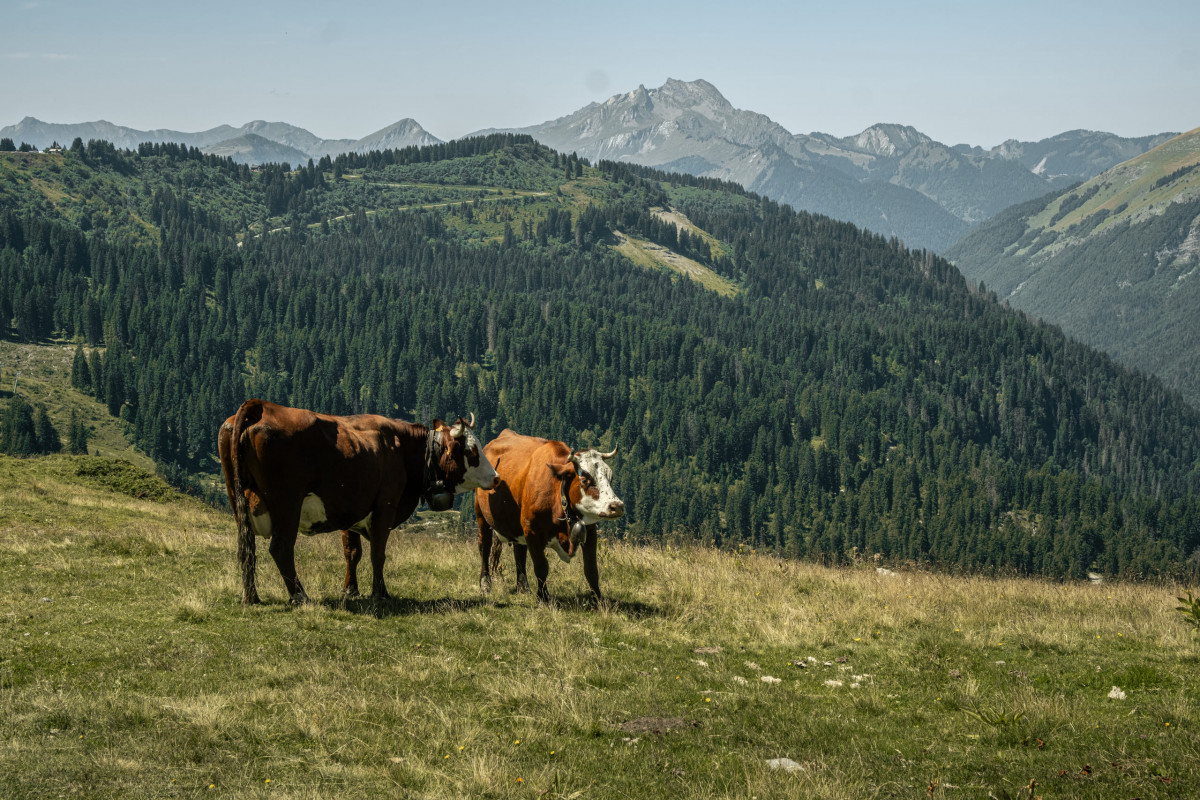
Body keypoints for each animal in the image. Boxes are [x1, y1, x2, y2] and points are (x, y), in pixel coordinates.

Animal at [218, 398, 499, 605]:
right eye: (471, 451)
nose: (495, 477)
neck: (402, 448)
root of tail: (262, 406)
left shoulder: (350, 507)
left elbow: (352, 552)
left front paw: (350, 590)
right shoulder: (385, 505)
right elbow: (377, 553)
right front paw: (380, 592)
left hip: (237, 499)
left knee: (246, 547)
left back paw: (251, 597)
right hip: (287, 503)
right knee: (281, 548)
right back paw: (300, 596)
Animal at [475, 429, 624, 604]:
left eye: (610, 477)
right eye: (585, 479)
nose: (617, 506)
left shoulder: (590, 532)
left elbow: (591, 569)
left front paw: (597, 599)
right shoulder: (532, 531)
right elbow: (541, 567)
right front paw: (543, 597)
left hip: (517, 523)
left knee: (519, 551)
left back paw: (523, 588)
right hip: (482, 516)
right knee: (485, 547)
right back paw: (485, 585)